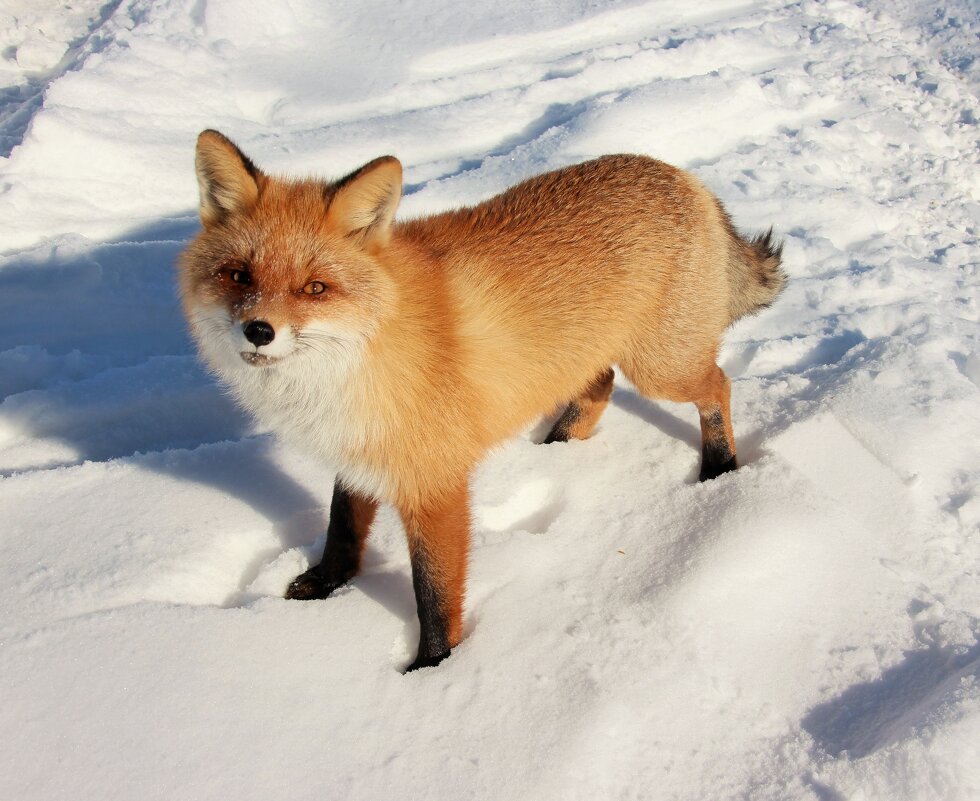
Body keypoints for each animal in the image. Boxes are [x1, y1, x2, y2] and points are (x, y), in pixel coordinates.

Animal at [180, 130, 784, 668]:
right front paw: (328, 584)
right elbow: (342, 527)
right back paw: (556, 446)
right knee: (601, 386)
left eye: (314, 289)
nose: (259, 331)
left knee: (718, 385)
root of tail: (681, 174)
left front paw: (432, 669)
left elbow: (433, 593)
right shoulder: (359, 452)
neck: (359, 360)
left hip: (662, 368)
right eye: (238, 275)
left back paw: (720, 469)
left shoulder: (435, 485)